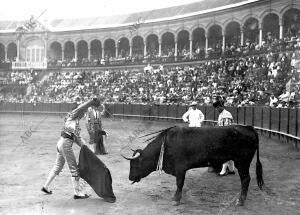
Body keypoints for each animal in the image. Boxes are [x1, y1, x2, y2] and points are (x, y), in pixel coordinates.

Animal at [121, 125, 262, 206]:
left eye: (134, 165)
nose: (129, 177)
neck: (166, 145)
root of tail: (249, 128)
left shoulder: (180, 169)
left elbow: (179, 184)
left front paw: (176, 199)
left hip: (242, 162)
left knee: (245, 179)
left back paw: (240, 201)